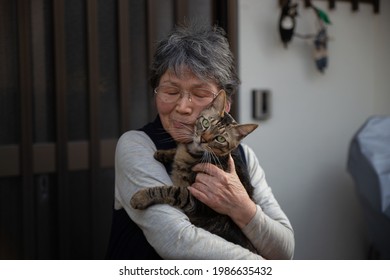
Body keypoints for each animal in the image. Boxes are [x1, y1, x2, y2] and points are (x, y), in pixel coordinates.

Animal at [131, 91, 258, 253]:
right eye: (206, 123)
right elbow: (178, 149)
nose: (203, 139)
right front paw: (164, 153)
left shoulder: (198, 200)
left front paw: (141, 197)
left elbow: (169, 190)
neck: (193, 153)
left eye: (220, 139)